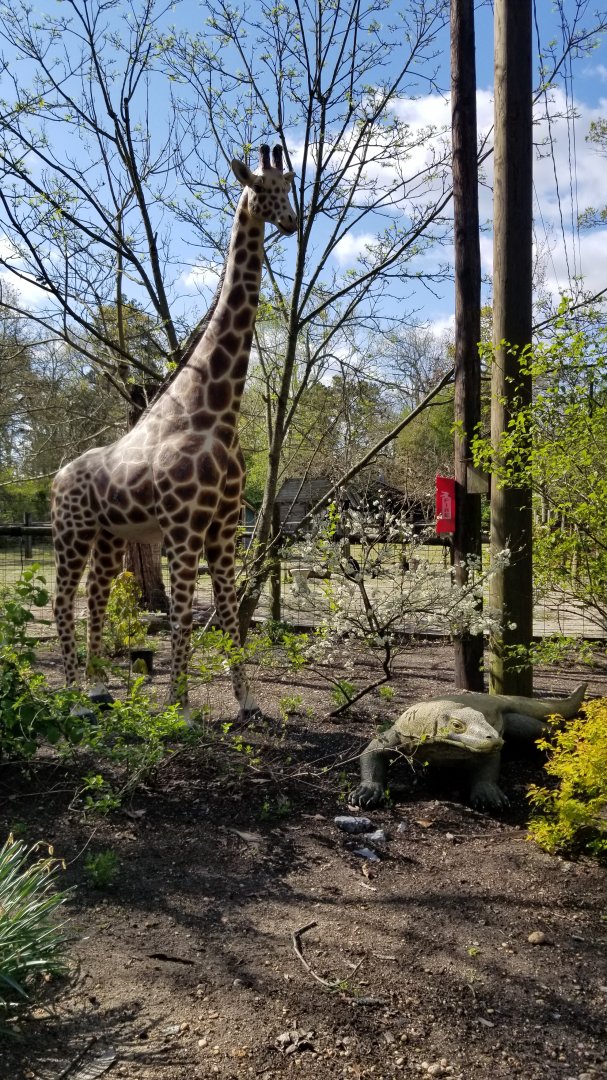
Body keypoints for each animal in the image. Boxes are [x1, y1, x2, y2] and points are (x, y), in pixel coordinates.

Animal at [51, 144, 298, 718]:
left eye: (289, 186)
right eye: (262, 188)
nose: (293, 222)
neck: (215, 411)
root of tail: (54, 478)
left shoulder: (223, 527)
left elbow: (229, 613)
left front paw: (247, 703)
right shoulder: (184, 527)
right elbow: (185, 613)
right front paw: (180, 708)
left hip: (108, 537)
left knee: (95, 597)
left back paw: (97, 689)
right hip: (70, 533)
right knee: (61, 602)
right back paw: (73, 699)